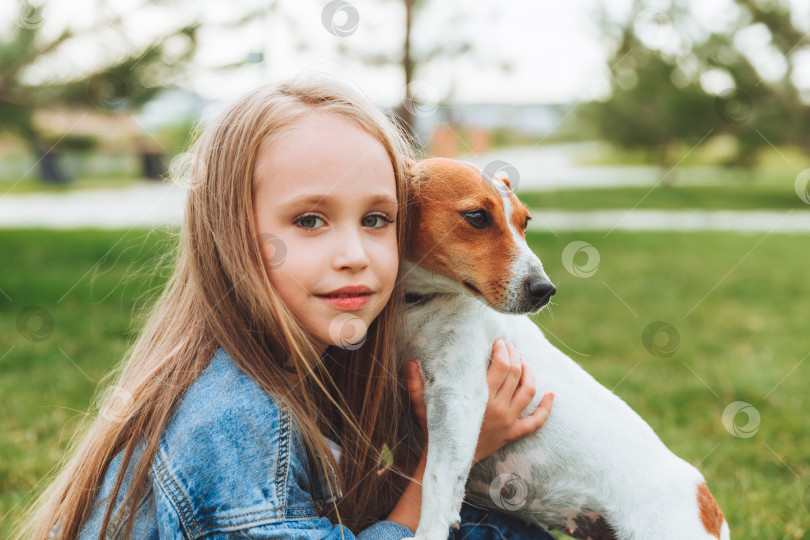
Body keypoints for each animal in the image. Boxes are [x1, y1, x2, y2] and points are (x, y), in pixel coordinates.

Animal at [400, 157, 728, 540]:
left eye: (525, 222)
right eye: (477, 217)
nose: (544, 289)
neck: (419, 305)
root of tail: (710, 511)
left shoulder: (458, 397)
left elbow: (436, 484)